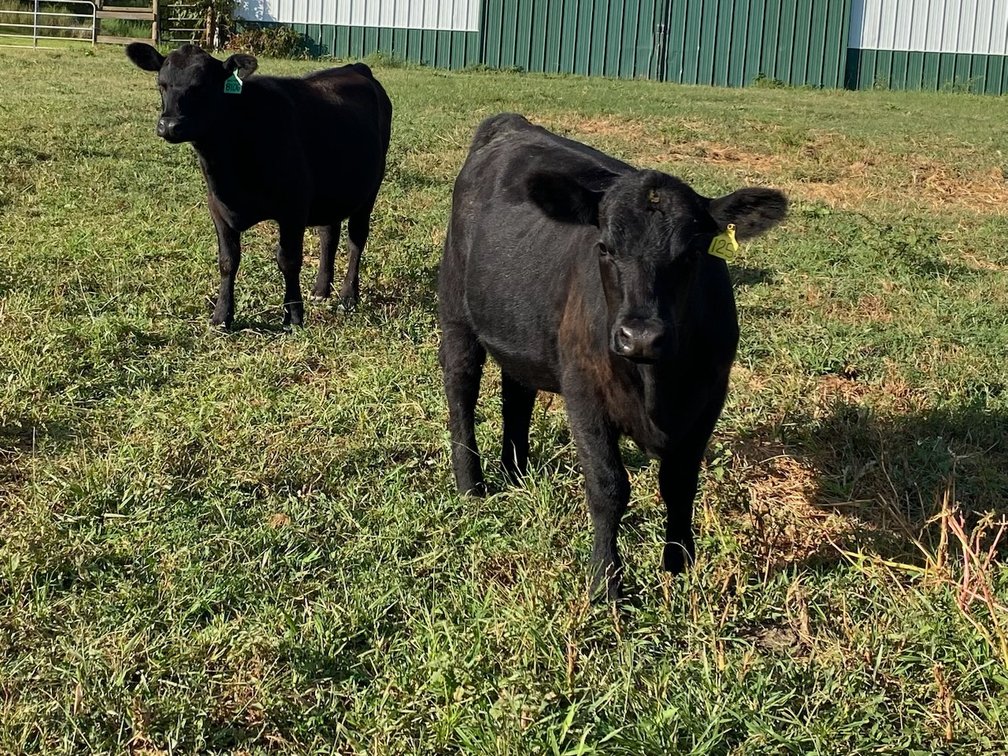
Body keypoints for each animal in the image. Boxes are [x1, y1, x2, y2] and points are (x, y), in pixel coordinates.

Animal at [126, 43, 392, 328]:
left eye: (201, 86)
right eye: (161, 84)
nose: (169, 125)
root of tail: (355, 67)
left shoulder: (294, 208)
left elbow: (288, 260)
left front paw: (293, 316)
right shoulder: (217, 207)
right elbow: (227, 261)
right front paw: (221, 316)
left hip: (370, 188)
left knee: (356, 239)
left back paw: (348, 296)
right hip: (333, 190)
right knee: (328, 233)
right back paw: (321, 289)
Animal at [438, 114, 787, 600]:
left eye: (693, 254)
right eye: (605, 247)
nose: (639, 337)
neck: (657, 386)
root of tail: (511, 124)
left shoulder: (708, 398)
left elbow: (680, 484)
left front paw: (679, 567)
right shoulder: (584, 392)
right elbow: (608, 486)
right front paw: (606, 582)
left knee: (517, 394)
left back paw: (516, 472)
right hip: (455, 310)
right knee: (462, 391)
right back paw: (472, 484)